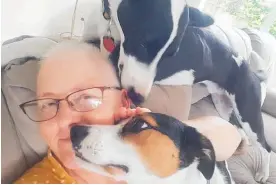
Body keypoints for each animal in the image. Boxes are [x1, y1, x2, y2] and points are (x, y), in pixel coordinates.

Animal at [97, 0, 272, 182]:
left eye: (170, 55)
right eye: (143, 43)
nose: (136, 97)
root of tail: (253, 72)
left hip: (249, 115)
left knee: (265, 146)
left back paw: (263, 173)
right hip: (223, 107)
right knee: (238, 130)